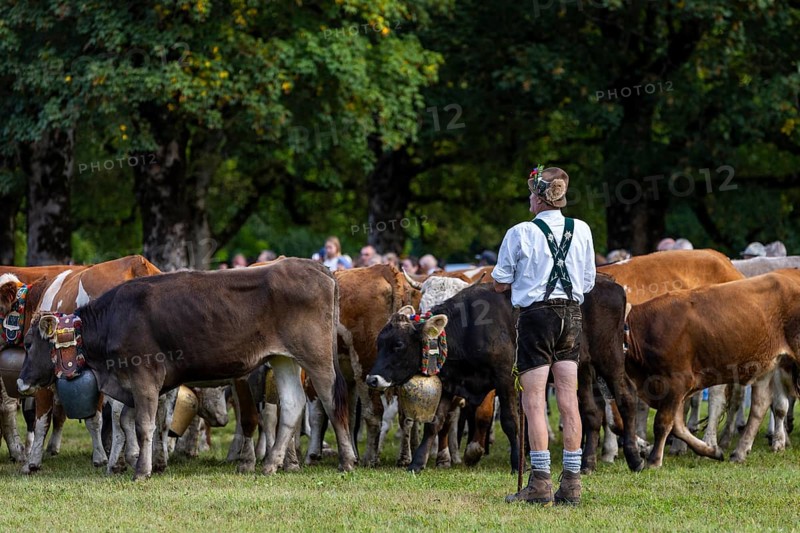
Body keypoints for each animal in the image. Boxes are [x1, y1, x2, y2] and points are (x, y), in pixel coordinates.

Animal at [0, 256, 161, 474]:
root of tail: (136, 262)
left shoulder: (45, 375)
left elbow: (42, 420)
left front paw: (31, 462)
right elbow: (94, 419)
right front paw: (100, 456)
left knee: (120, 412)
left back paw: (121, 460)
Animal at [18, 258, 356, 479]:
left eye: (29, 344)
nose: (21, 382)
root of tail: (316, 268)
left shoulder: (144, 376)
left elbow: (143, 424)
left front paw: (142, 471)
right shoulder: (131, 383)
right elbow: (128, 422)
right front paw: (136, 461)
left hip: (316, 357)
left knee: (331, 400)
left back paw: (347, 460)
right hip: (283, 358)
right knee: (292, 404)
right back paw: (271, 463)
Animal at [624, 269, 800, 467]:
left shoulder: (677, 381)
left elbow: (663, 422)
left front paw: (654, 460)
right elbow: (677, 426)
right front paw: (711, 451)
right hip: (765, 366)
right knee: (759, 405)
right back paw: (739, 452)